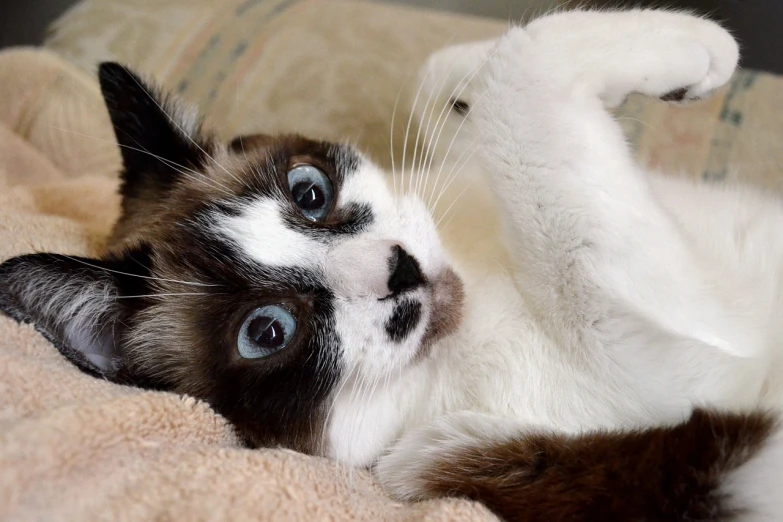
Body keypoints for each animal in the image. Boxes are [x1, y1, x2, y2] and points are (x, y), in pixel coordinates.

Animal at [1, 8, 783, 520]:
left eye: (309, 192)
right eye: (267, 332)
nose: (399, 271)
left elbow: (456, 77)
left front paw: (685, 56)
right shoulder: (653, 365)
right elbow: (520, 72)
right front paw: (704, 47)